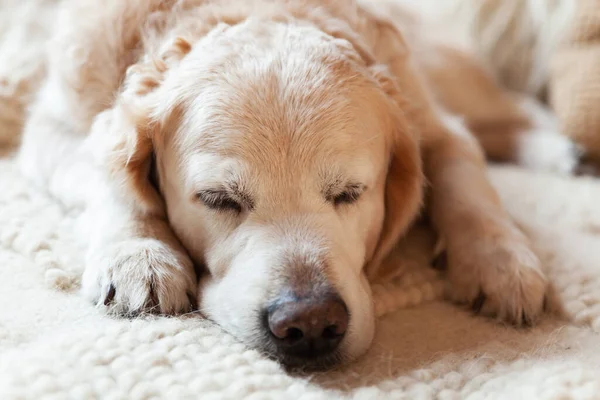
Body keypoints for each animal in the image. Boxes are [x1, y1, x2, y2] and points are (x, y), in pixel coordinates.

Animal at [17, 0, 576, 368]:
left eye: (350, 193)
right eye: (218, 199)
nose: (310, 325)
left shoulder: (429, 121)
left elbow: (466, 179)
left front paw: (500, 262)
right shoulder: (50, 127)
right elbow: (104, 175)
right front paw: (139, 253)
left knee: (511, 108)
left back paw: (555, 148)